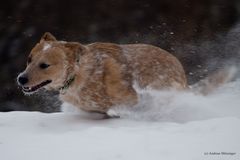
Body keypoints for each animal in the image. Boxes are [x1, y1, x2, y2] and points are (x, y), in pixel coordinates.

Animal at [18, 32, 188, 114]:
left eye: (44, 65)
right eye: (29, 60)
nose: (21, 79)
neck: (77, 75)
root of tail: (178, 64)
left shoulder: (130, 99)